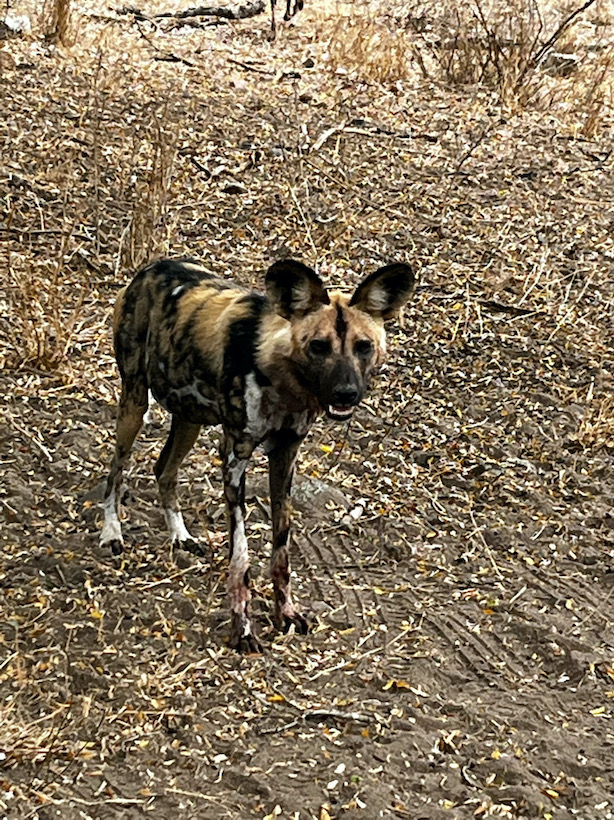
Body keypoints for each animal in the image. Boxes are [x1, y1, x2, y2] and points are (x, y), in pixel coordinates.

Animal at [100, 258, 415, 652]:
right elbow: (241, 557)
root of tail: (153, 267)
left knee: (164, 470)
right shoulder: (235, 457)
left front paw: (287, 614)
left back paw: (180, 535)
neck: (283, 379)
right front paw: (244, 631)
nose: (346, 393)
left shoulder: (285, 457)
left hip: (190, 419)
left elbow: (281, 550)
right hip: (134, 405)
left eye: (363, 346)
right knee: (116, 470)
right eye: (318, 346)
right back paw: (111, 533)